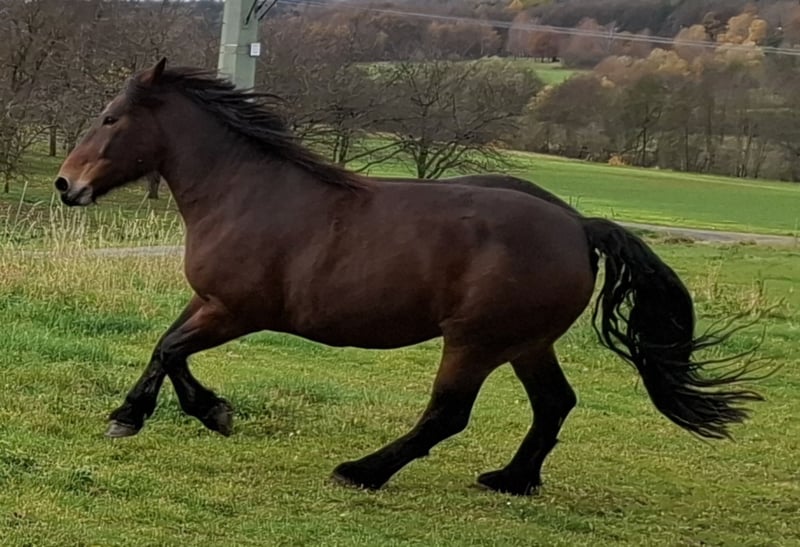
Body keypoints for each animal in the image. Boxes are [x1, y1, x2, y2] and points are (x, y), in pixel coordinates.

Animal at [54, 59, 763, 496]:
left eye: (111, 117)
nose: (66, 184)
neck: (245, 192)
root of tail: (578, 225)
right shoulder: (207, 301)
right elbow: (161, 349)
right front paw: (129, 415)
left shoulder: (236, 310)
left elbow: (173, 350)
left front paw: (212, 413)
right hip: (526, 344)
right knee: (555, 403)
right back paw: (511, 479)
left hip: (475, 342)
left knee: (447, 414)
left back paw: (363, 472)